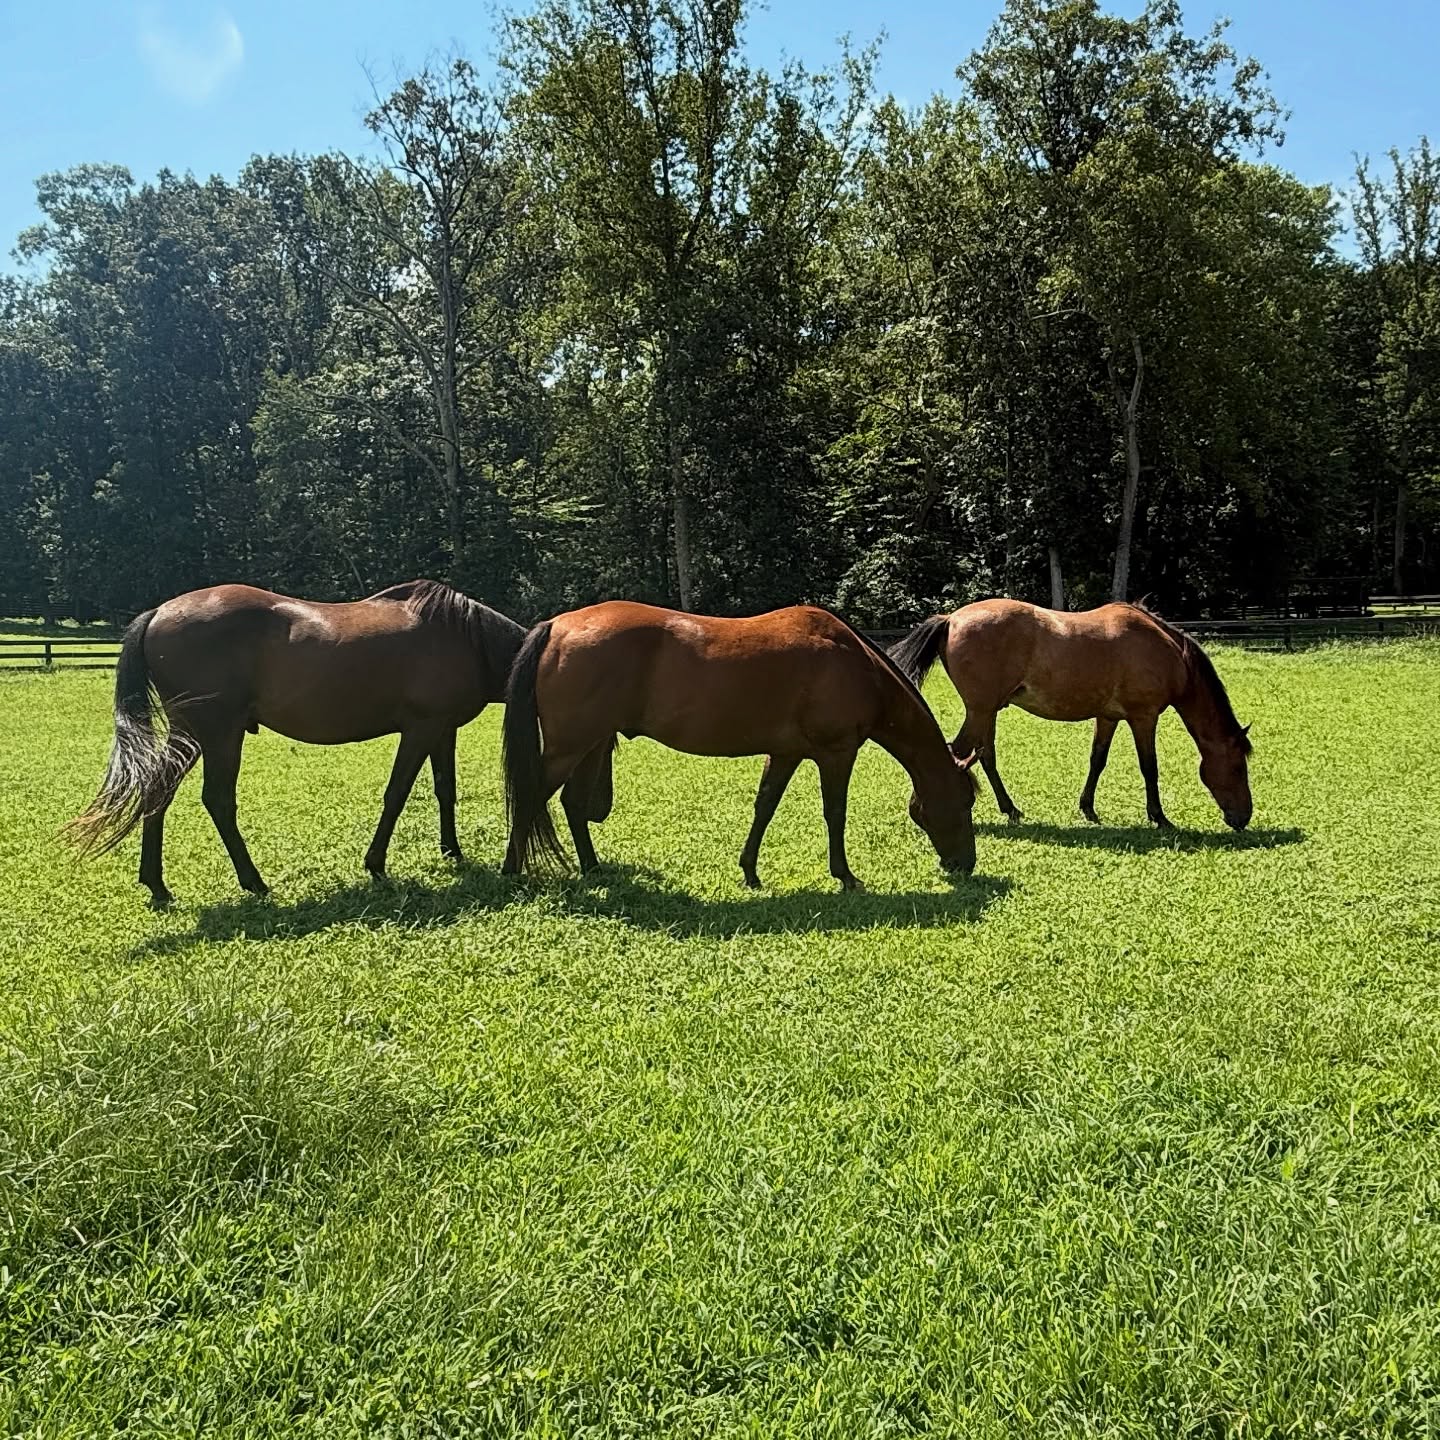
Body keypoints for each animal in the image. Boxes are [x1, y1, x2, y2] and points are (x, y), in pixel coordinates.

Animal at [68, 579, 526, 905]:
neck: (466, 638)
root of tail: (158, 612)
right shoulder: (420, 729)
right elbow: (396, 794)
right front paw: (376, 864)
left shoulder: (442, 729)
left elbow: (445, 790)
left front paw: (453, 852)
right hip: (217, 734)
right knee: (217, 800)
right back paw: (253, 882)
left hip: (192, 735)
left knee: (158, 789)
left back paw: (158, 886)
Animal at [499, 601, 980, 890]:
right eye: (965, 803)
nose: (966, 864)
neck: (853, 663)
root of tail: (557, 626)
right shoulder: (836, 754)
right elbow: (835, 813)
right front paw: (845, 875)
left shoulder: (786, 753)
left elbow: (764, 806)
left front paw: (749, 870)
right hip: (569, 748)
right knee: (532, 798)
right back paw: (509, 873)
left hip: (593, 745)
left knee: (574, 804)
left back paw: (593, 869)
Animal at [889, 599, 1252, 831]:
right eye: (1238, 767)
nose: (1243, 818)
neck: (1166, 651)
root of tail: (951, 619)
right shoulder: (1144, 717)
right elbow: (1149, 768)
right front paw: (1159, 817)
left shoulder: (1108, 717)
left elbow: (1097, 760)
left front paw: (1088, 808)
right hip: (981, 710)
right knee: (961, 752)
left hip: (986, 711)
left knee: (983, 754)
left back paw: (1010, 809)